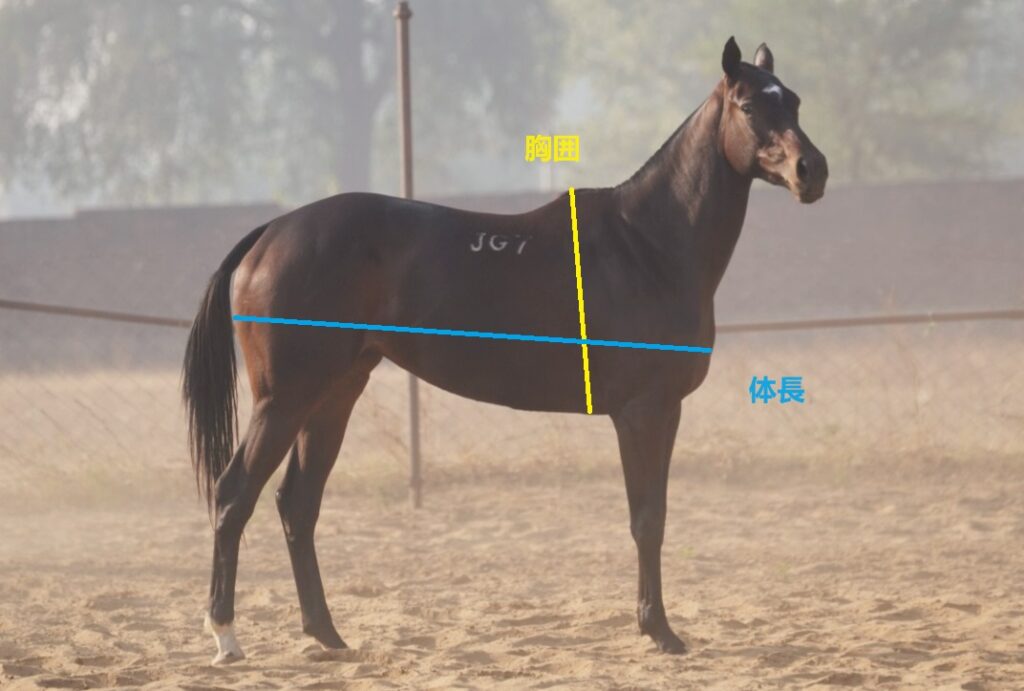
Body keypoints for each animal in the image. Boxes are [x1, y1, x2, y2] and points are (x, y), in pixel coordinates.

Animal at [183, 37, 827, 664]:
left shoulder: (659, 414)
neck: (646, 245)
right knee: (234, 496)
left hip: (334, 396)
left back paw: (327, 635)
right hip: (284, 401)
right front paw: (660, 632)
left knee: (298, 505)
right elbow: (648, 521)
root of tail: (270, 234)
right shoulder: (645, 413)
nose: (812, 170)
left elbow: (654, 517)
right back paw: (227, 637)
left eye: (793, 101)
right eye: (749, 105)